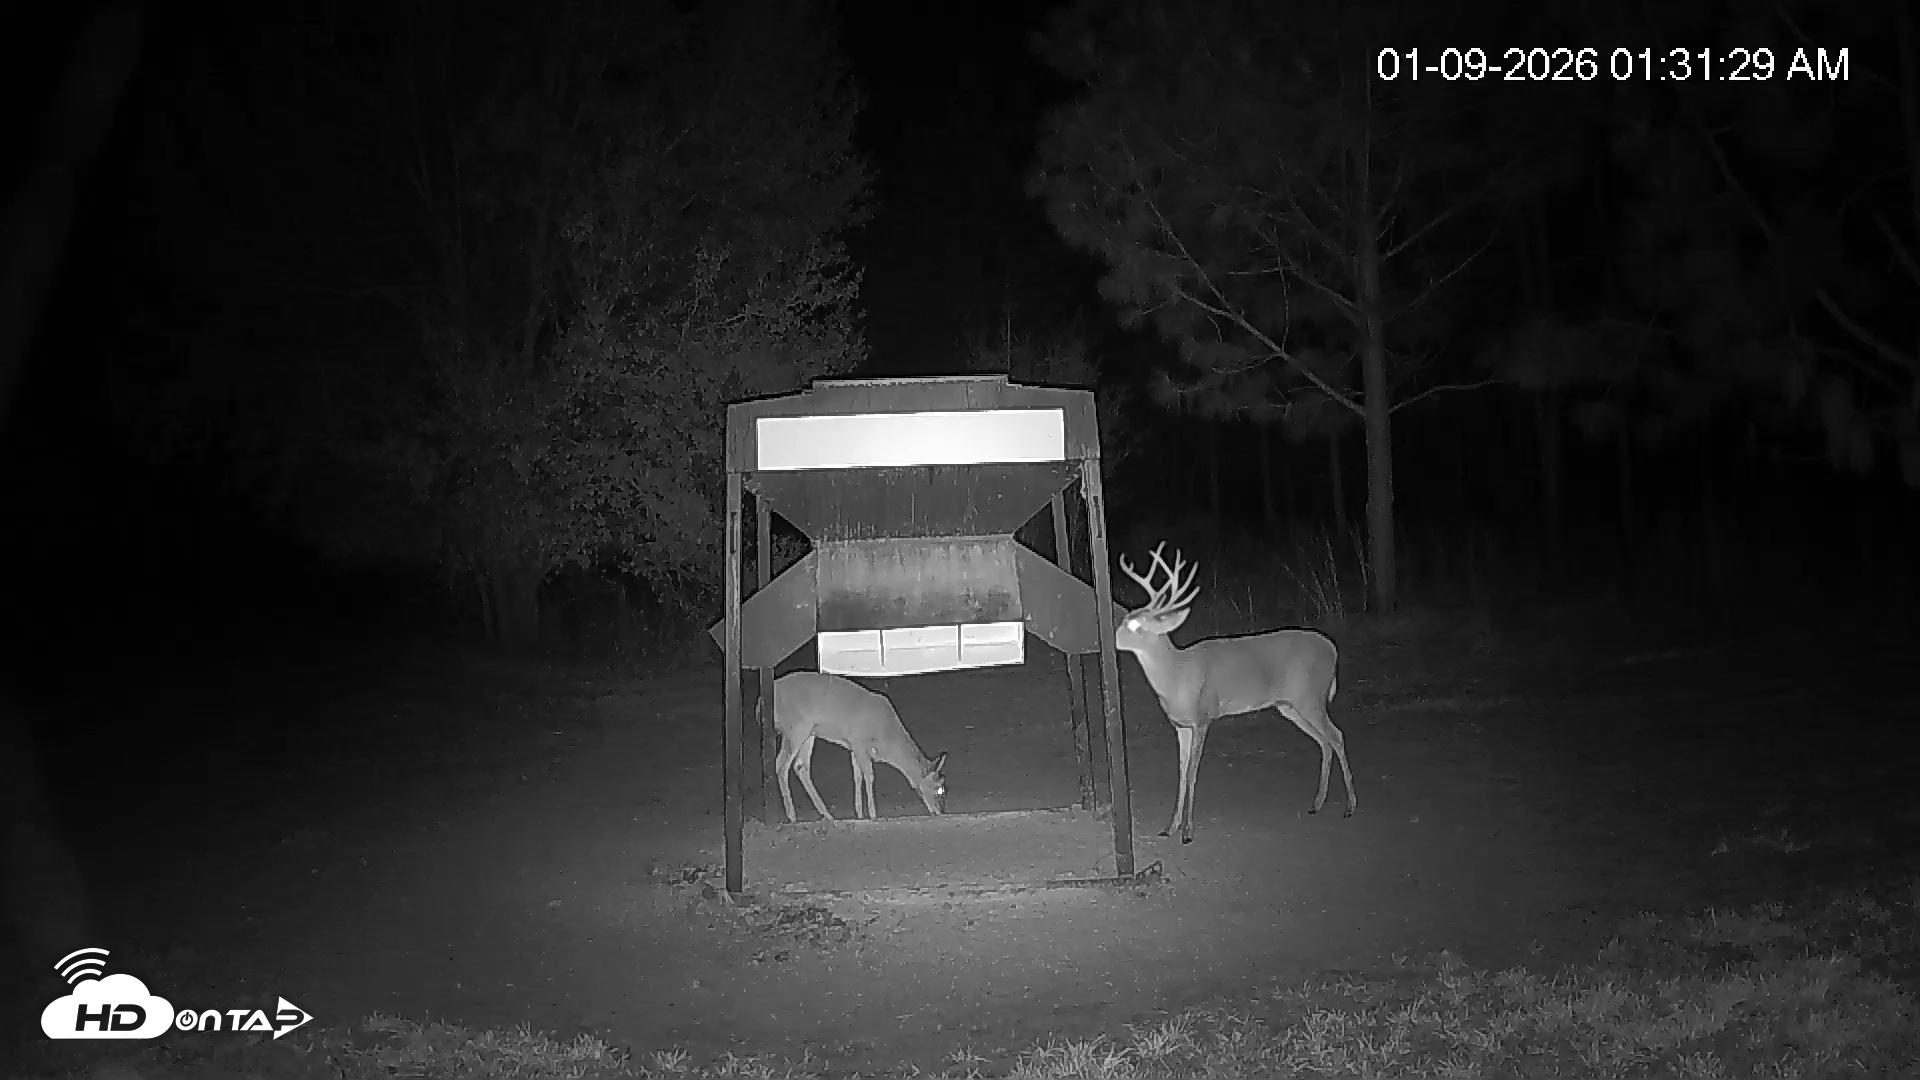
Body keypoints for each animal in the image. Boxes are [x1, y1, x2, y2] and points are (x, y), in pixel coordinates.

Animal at [771, 671, 948, 822]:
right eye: (939, 788)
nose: (940, 811)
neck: (887, 738)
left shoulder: (854, 747)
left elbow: (857, 777)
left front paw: (860, 814)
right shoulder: (859, 741)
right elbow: (869, 776)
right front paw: (873, 814)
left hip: (809, 733)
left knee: (801, 767)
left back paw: (827, 815)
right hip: (795, 728)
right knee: (781, 765)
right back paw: (792, 816)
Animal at [1115, 542, 1356, 843]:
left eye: (1136, 625)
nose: (1114, 637)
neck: (1178, 676)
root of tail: (1333, 650)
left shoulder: (1204, 716)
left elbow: (1192, 772)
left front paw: (1187, 832)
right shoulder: (1181, 725)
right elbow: (1181, 772)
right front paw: (1169, 827)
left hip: (1311, 696)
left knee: (1337, 735)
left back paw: (1350, 807)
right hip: (1289, 706)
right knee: (1324, 740)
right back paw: (1317, 804)